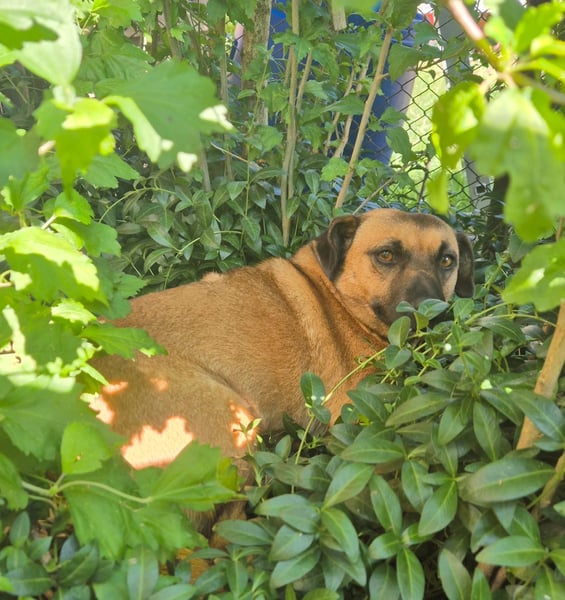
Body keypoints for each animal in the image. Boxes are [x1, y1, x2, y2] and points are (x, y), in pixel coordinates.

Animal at [91, 209, 474, 471]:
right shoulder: (357, 417)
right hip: (233, 417)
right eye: (386, 255)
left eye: (447, 260)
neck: (338, 299)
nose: (432, 312)